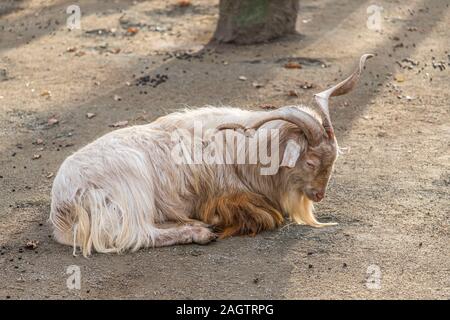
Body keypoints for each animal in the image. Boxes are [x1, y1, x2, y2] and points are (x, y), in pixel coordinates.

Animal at [48, 53, 372, 256]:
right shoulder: (226, 194)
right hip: (132, 183)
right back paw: (199, 232)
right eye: (310, 160)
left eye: (333, 161)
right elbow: (265, 215)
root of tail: (64, 204)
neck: (244, 153)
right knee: (135, 235)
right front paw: (216, 224)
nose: (319, 195)